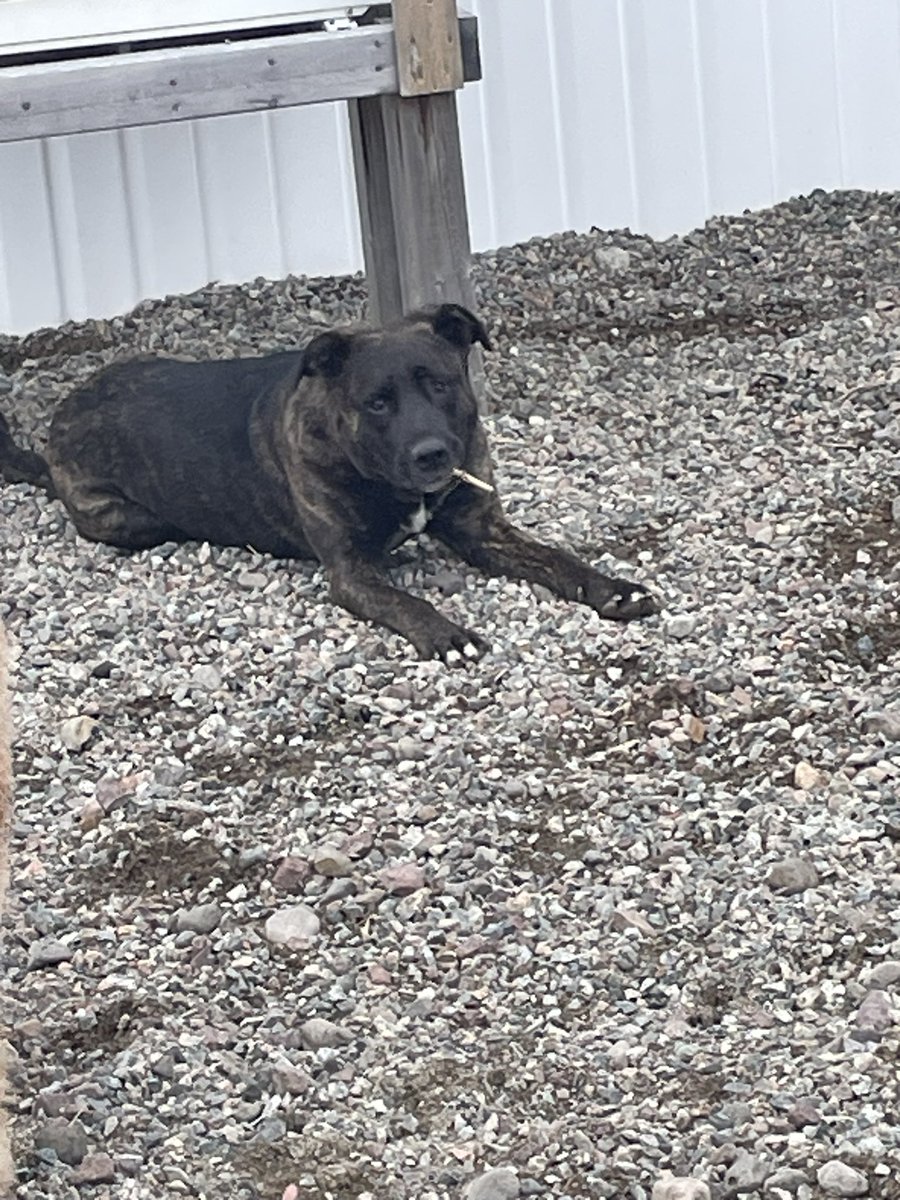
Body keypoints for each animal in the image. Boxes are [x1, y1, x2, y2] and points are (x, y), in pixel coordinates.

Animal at [1, 300, 662, 657]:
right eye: (378, 402)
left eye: (440, 384)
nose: (430, 454)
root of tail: (61, 417)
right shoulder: (351, 571)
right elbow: (405, 598)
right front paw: (446, 634)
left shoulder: (481, 527)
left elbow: (557, 558)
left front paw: (613, 589)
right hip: (127, 520)